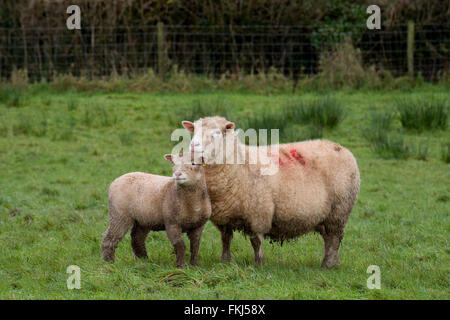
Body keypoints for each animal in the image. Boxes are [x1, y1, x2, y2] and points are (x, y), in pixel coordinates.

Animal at [181, 117, 360, 268]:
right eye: (194, 131)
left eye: (217, 133)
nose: (193, 147)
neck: (240, 166)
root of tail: (342, 149)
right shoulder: (225, 217)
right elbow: (226, 239)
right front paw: (225, 261)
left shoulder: (258, 213)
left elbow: (256, 241)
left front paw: (259, 264)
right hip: (325, 216)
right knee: (329, 240)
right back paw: (333, 262)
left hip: (339, 211)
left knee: (335, 238)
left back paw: (328, 265)